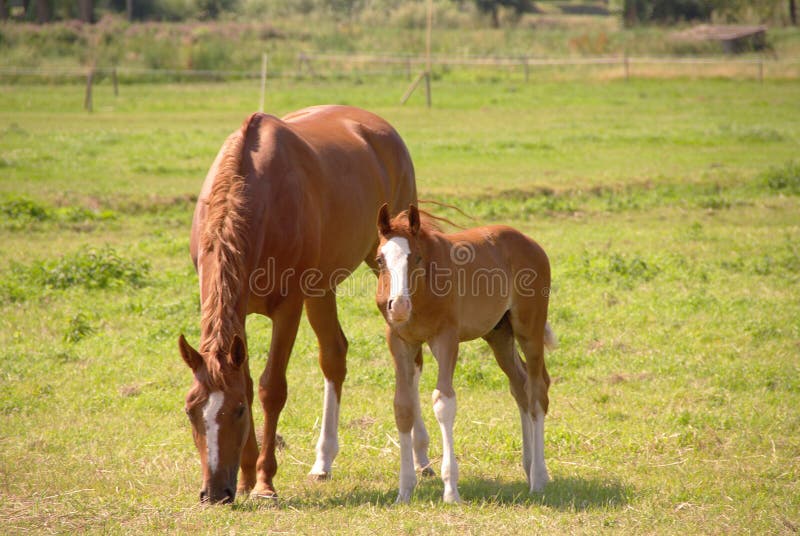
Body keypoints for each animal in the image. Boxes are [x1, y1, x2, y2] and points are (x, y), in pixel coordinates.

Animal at [178, 106, 418, 503]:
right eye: (191, 411)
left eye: (238, 412)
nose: (214, 493)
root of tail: (380, 128)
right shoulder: (239, 315)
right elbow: (246, 380)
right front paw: (245, 478)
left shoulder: (288, 307)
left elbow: (271, 388)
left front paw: (264, 483)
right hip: (321, 289)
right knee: (334, 356)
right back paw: (323, 461)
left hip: (384, 261)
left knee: (410, 357)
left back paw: (424, 460)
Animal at [375, 204, 556, 503]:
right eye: (380, 260)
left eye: (417, 258)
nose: (398, 306)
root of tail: (531, 244)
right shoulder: (400, 341)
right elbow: (402, 407)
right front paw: (404, 490)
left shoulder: (446, 339)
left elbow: (443, 403)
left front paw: (451, 490)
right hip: (499, 334)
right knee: (520, 386)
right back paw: (529, 468)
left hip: (529, 330)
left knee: (537, 391)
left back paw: (539, 478)